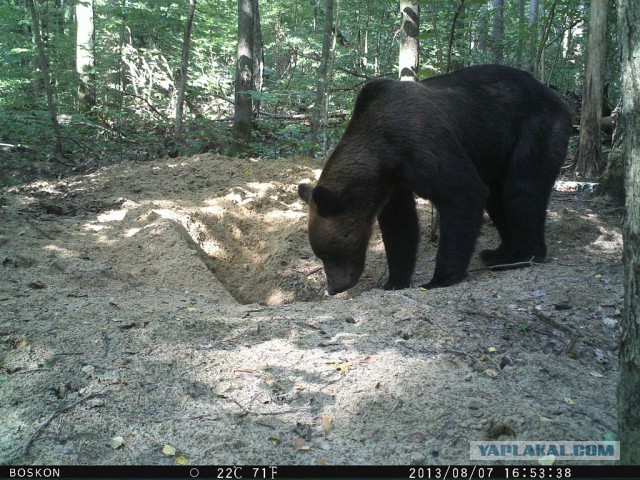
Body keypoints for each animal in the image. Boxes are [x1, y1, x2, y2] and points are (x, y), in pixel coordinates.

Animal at [298, 65, 572, 294]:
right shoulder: (392, 183)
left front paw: (439, 279)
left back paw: (523, 256)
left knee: (522, 190)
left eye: (329, 252)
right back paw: (499, 253)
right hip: (496, 151)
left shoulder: (423, 146)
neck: (383, 155)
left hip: (535, 129)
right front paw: (394, 281)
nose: (334, 287)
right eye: (320, 254)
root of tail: (553, 94)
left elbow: (463, 192)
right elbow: (401, 226)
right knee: (498, 198)